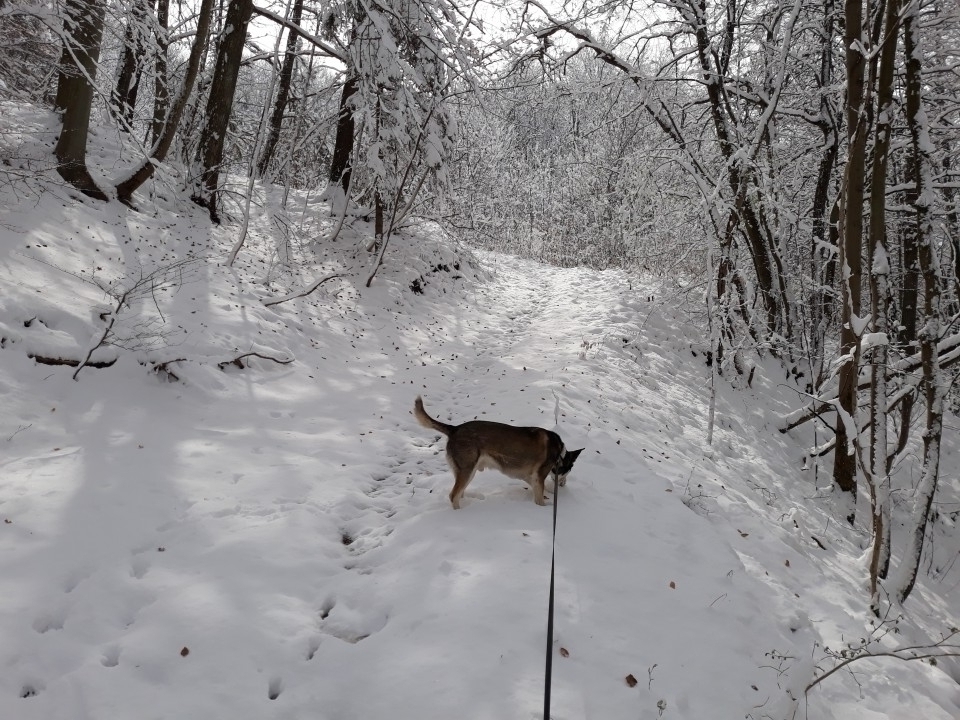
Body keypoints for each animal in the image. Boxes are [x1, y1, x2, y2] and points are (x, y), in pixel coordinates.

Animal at [410, 396, 580, 510]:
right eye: (570, 469)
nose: (564, 485)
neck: (560, 453)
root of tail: (455, 428)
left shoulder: (530, 477)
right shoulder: (539, 477)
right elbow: (540, 498)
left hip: (466, 472)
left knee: (459, 493)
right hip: (467, 471)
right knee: (453, 496)